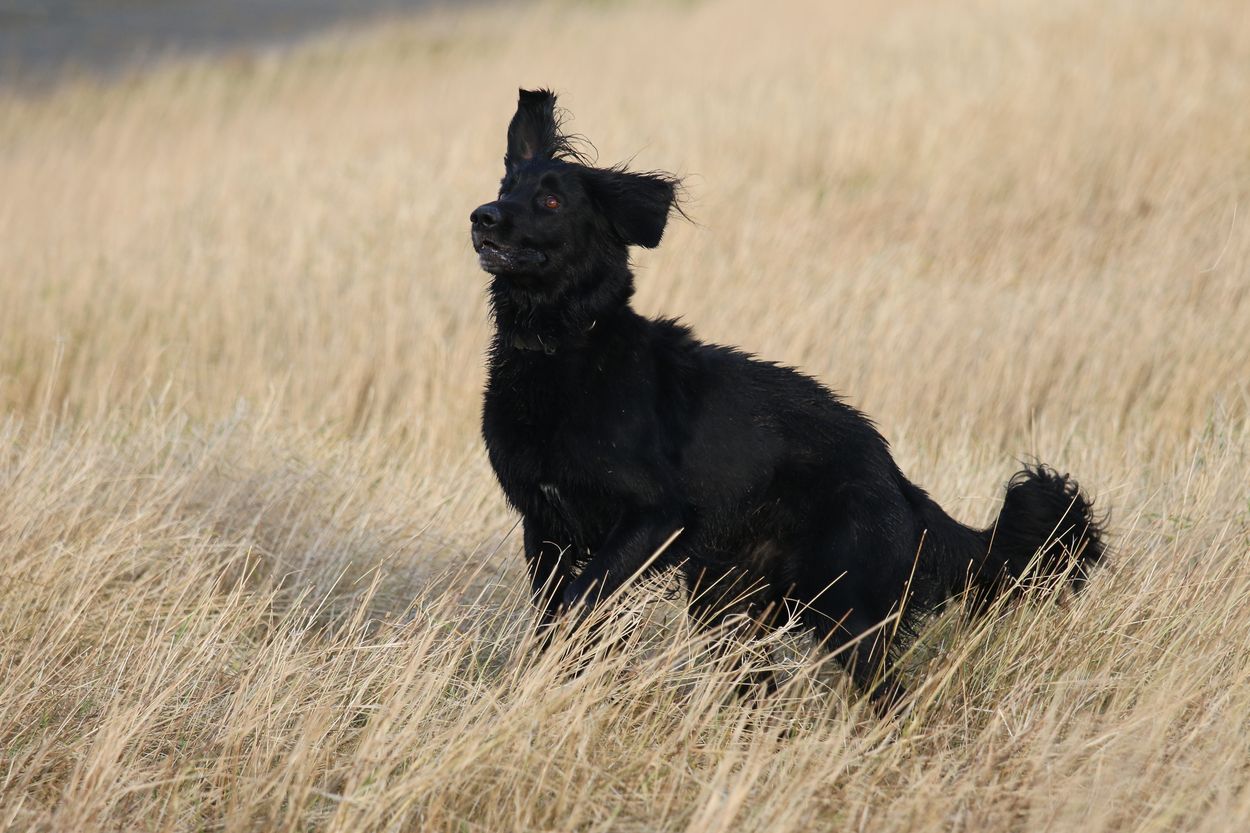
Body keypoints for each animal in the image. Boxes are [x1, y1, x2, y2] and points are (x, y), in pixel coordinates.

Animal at [470, 89, 1104, 700]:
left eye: (551, 203)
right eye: (505, 188)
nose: (482, 216)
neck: (562, 349)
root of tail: (896, 478)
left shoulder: (654, 518)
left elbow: (577, 605)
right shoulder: (544, 527)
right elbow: (560, 618)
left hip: (841, 608)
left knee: (890, 693)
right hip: (727, 602)